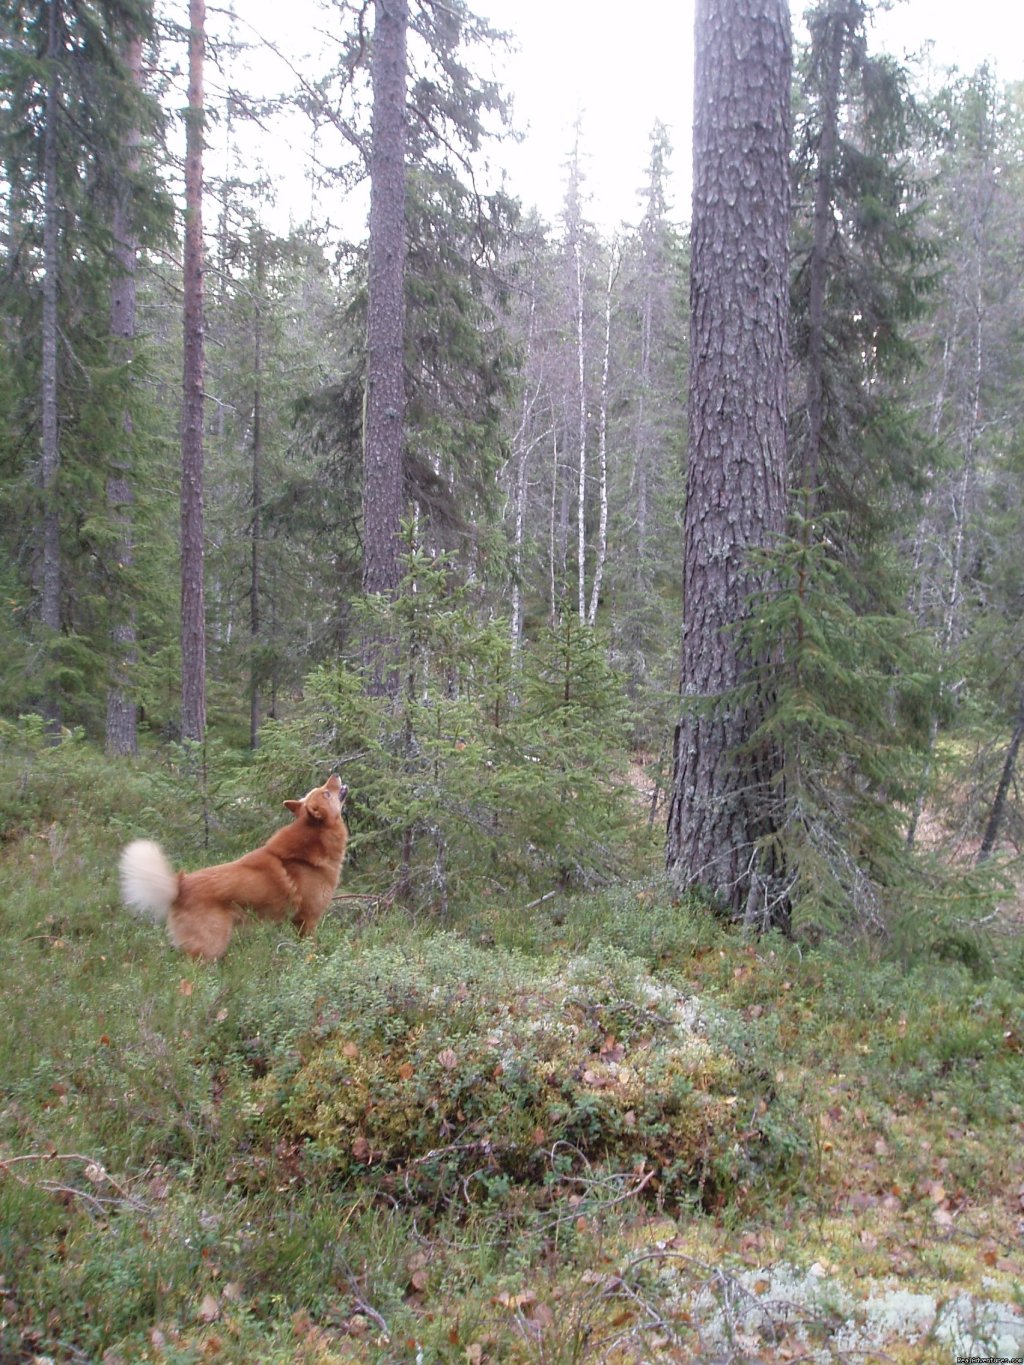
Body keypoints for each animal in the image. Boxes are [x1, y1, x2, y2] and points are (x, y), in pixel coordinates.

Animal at [120, 775, 352, 966]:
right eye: (326, 792)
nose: (334, 774)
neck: (309, 850)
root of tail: (179, 885)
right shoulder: (307, 921)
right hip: (211, 946)